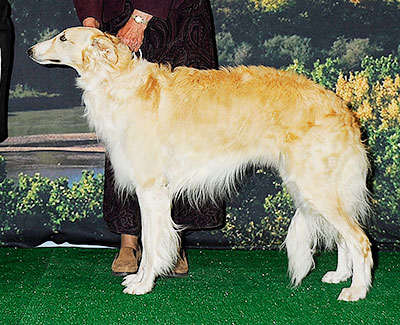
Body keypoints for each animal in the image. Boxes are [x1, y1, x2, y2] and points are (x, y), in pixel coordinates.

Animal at [29, 27, 374, 302]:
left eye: (63, 37)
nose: (31, 50)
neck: (119, 82)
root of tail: (342, 107)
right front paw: (138, 278)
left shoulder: (151, 187)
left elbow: (152, 242)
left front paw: (143, 284)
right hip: (317, 188)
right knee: (344, 238)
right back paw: (340, 276)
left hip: (315, 187)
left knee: (360, 240)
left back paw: (356, 291)